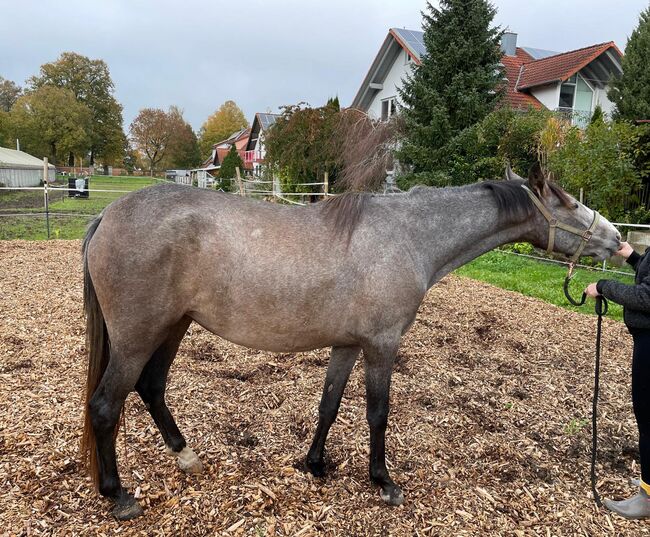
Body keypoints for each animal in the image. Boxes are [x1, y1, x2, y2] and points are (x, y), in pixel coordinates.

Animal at [79, 165, 616, 516]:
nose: (615, 239)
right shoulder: (382, 344)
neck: (410, 235)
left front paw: (315, 464)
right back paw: (118, 496)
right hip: (138, 337)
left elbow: (330, 404)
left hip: (173, 327)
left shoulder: (348, 344)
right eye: (566, 200)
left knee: (151, 389)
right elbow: (377, 412)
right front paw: (384, 482)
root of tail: (107, 216)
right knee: (106, 405)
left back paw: (185, 456)